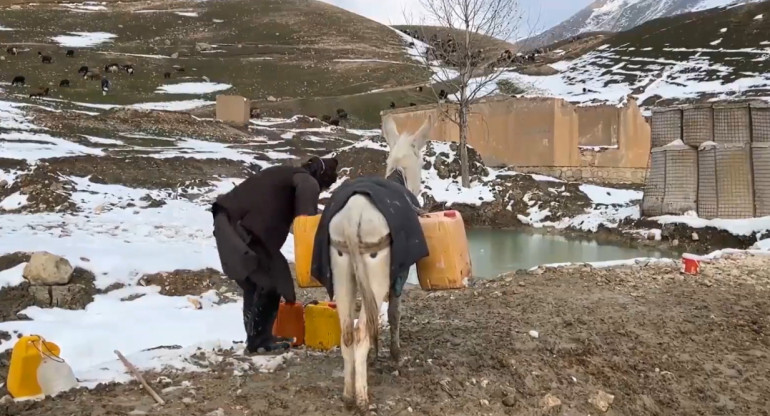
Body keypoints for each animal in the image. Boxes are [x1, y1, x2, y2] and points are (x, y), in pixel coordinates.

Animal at [326, 115, 432, 412]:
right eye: (423, 159)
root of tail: (352, 217)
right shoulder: (398, 275)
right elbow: (394, 314)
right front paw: (395, 354)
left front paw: (376, 355)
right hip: (375, 272)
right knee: (360, 331)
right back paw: (362, 398)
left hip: (342, 271)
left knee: (347, 332)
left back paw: (348, 394)